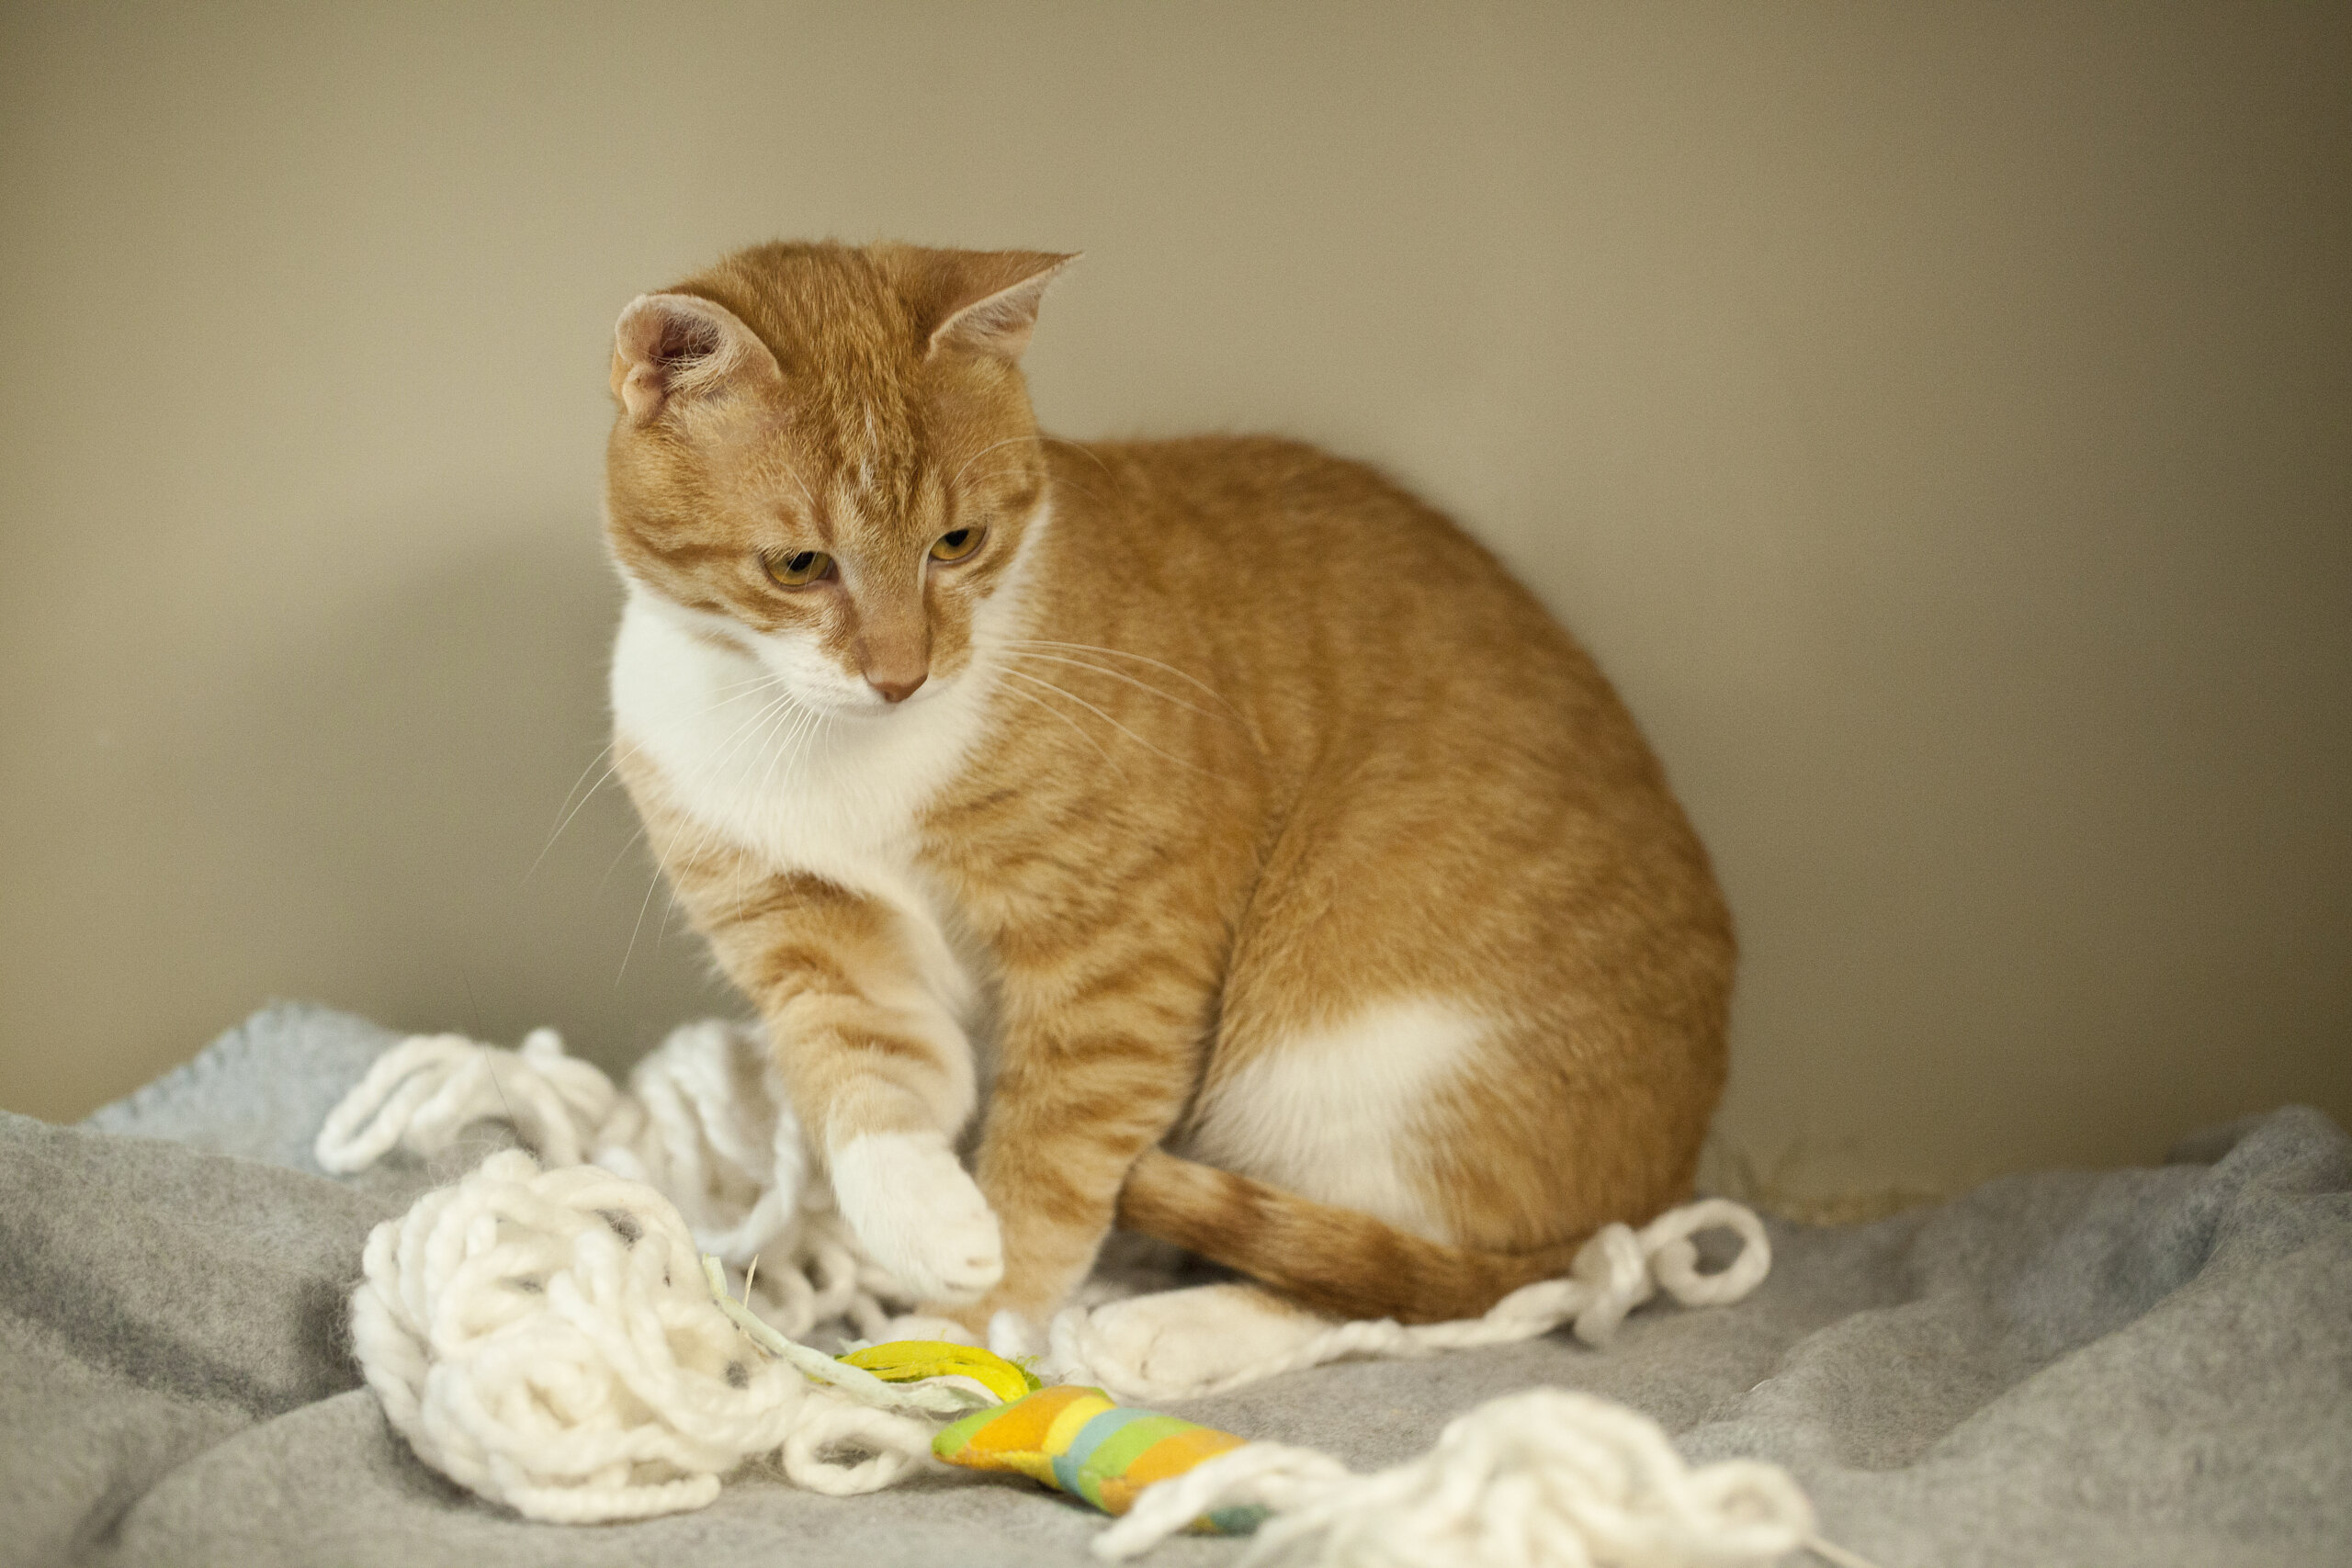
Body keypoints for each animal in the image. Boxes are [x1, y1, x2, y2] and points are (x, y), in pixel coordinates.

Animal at [603, 241, 1732, 1379]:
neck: (825, 746)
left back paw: (1167, 1330)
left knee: (1402, 1287)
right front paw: (928, 1228)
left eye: (956, 544)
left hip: (1347, 1054)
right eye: (800, 566)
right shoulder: (814, 932)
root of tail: (1651, 1197)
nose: (901, 676)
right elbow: (868, 1085)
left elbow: (1056, 1153)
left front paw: (981, 1319)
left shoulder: (1123, 953)